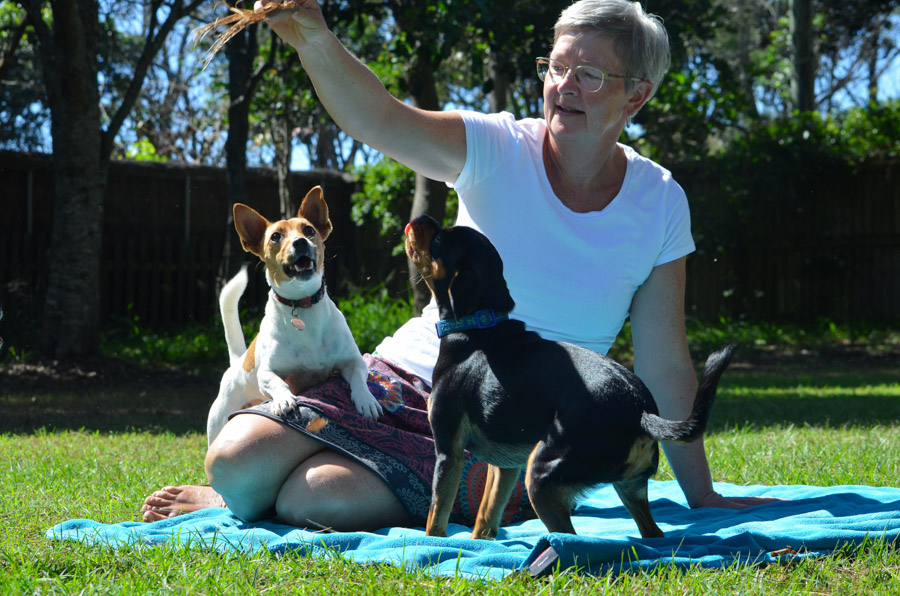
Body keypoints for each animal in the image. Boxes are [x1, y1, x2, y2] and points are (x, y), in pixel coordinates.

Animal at [206, 186, 382, 445]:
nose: (300, 242)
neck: (302, 303)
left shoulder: (353, 361)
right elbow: (278, 383)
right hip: (219, 421)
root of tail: (238, 361)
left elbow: (360, 378)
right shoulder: (267, 373)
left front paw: (366, 400)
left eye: (308, 230)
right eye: (275, 236)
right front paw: (284, 399)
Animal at [404, 215, 734, 540]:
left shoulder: (448, 453)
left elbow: (436, 518)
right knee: (652, 536)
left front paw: (432, 547)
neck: (477, 326)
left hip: (541, 474)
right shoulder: (504, 466)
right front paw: (478, 545)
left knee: (570, 539)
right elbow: (486, 518)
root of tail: (641, 411)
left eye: (438, 240)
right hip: (629, 487)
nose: (420, 218)